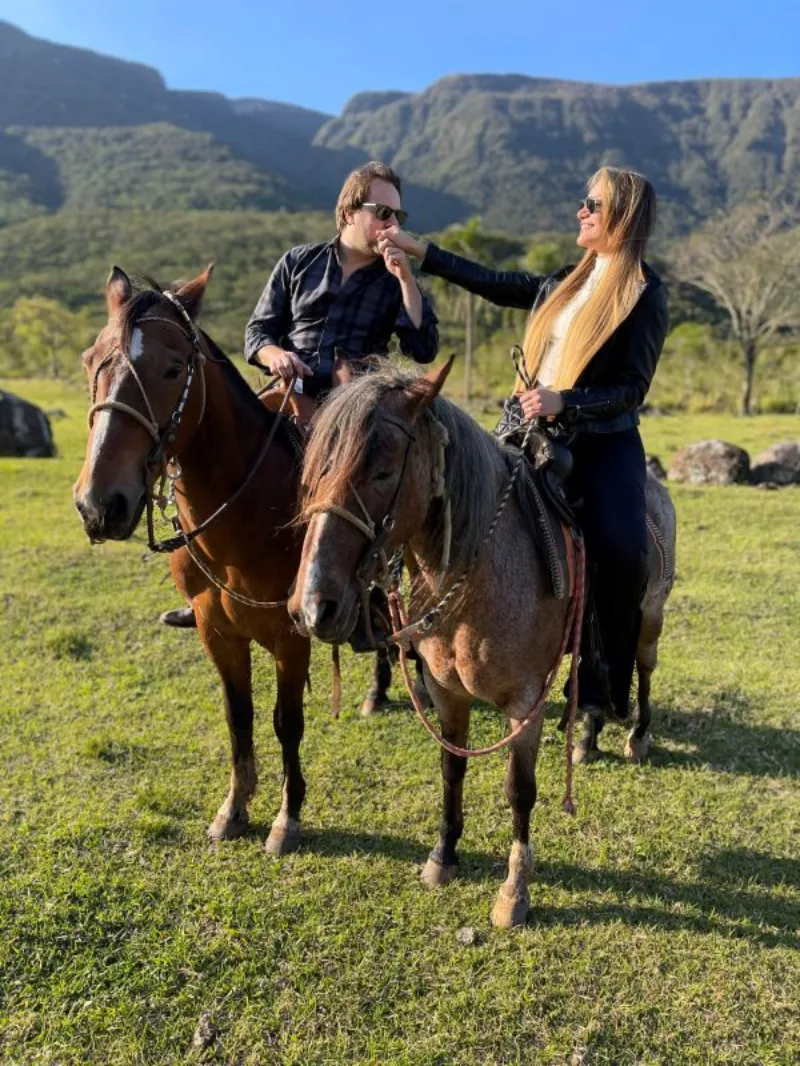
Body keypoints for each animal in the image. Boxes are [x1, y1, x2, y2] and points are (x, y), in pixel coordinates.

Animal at [75, 266, 398, 848]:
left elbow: (287, 722)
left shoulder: (292, 636)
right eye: (92, 361)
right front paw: (234, 807)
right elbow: (239, 716)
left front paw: (287, 817)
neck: (246, 511)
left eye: (173, 368)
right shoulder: (215, 629)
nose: (98, 504)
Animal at [288, 358, 678, 925]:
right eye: (314, 468)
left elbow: (520, 790)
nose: (314, 607)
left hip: (650, 615)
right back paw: (586, 737)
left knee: (643, 669)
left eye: (382, 471)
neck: (481, 569)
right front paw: (443, 856)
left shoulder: (524, 701)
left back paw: (638, 734)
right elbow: (451, 767)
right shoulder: (447, 690)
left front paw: (514, 891)